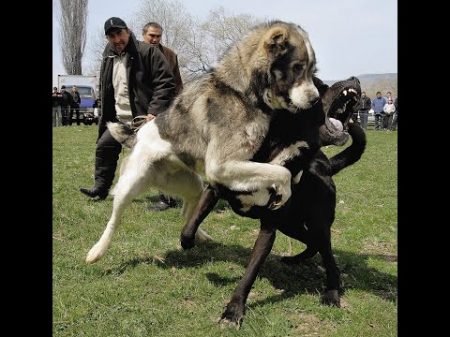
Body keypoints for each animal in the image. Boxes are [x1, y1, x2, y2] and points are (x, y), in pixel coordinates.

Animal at [179, 77, 366, 326]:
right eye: (320, 86)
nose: (354, 79)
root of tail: (326, 166)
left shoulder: (269, 228)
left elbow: (249, 273)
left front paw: (233, 311)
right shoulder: (214, 189)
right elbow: (191, 224)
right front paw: (188, 243)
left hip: (317, 223)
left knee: (328, 258)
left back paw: (332, 294)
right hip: (291, 225)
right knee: (312, 243)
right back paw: (294, 260)